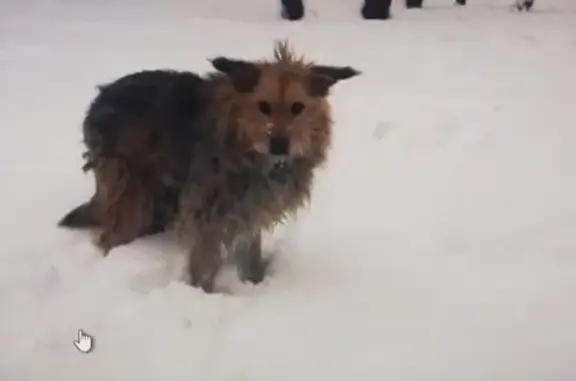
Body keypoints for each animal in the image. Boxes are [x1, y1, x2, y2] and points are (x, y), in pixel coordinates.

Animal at [58, 40, 360, 290]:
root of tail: (100, 99)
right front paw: (201, 294)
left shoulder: (249, 208)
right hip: (132, 193)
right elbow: (204, 264)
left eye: (298, 107)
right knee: (111, 235)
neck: (244, 145)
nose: (279, 145)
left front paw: (254, 283)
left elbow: (251, 253)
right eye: (263, 106)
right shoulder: (208, 211)